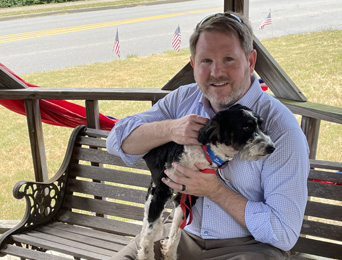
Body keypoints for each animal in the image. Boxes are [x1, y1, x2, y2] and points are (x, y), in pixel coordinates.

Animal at [138, 103, 274, 260]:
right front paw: (146, 254)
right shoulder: (163, 189)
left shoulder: (188, 195)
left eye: (261, 124)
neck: (204, 153)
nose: (272, 148)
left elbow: (177, 230)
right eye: (246, 127)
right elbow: (151, 230)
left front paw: (170, 254)